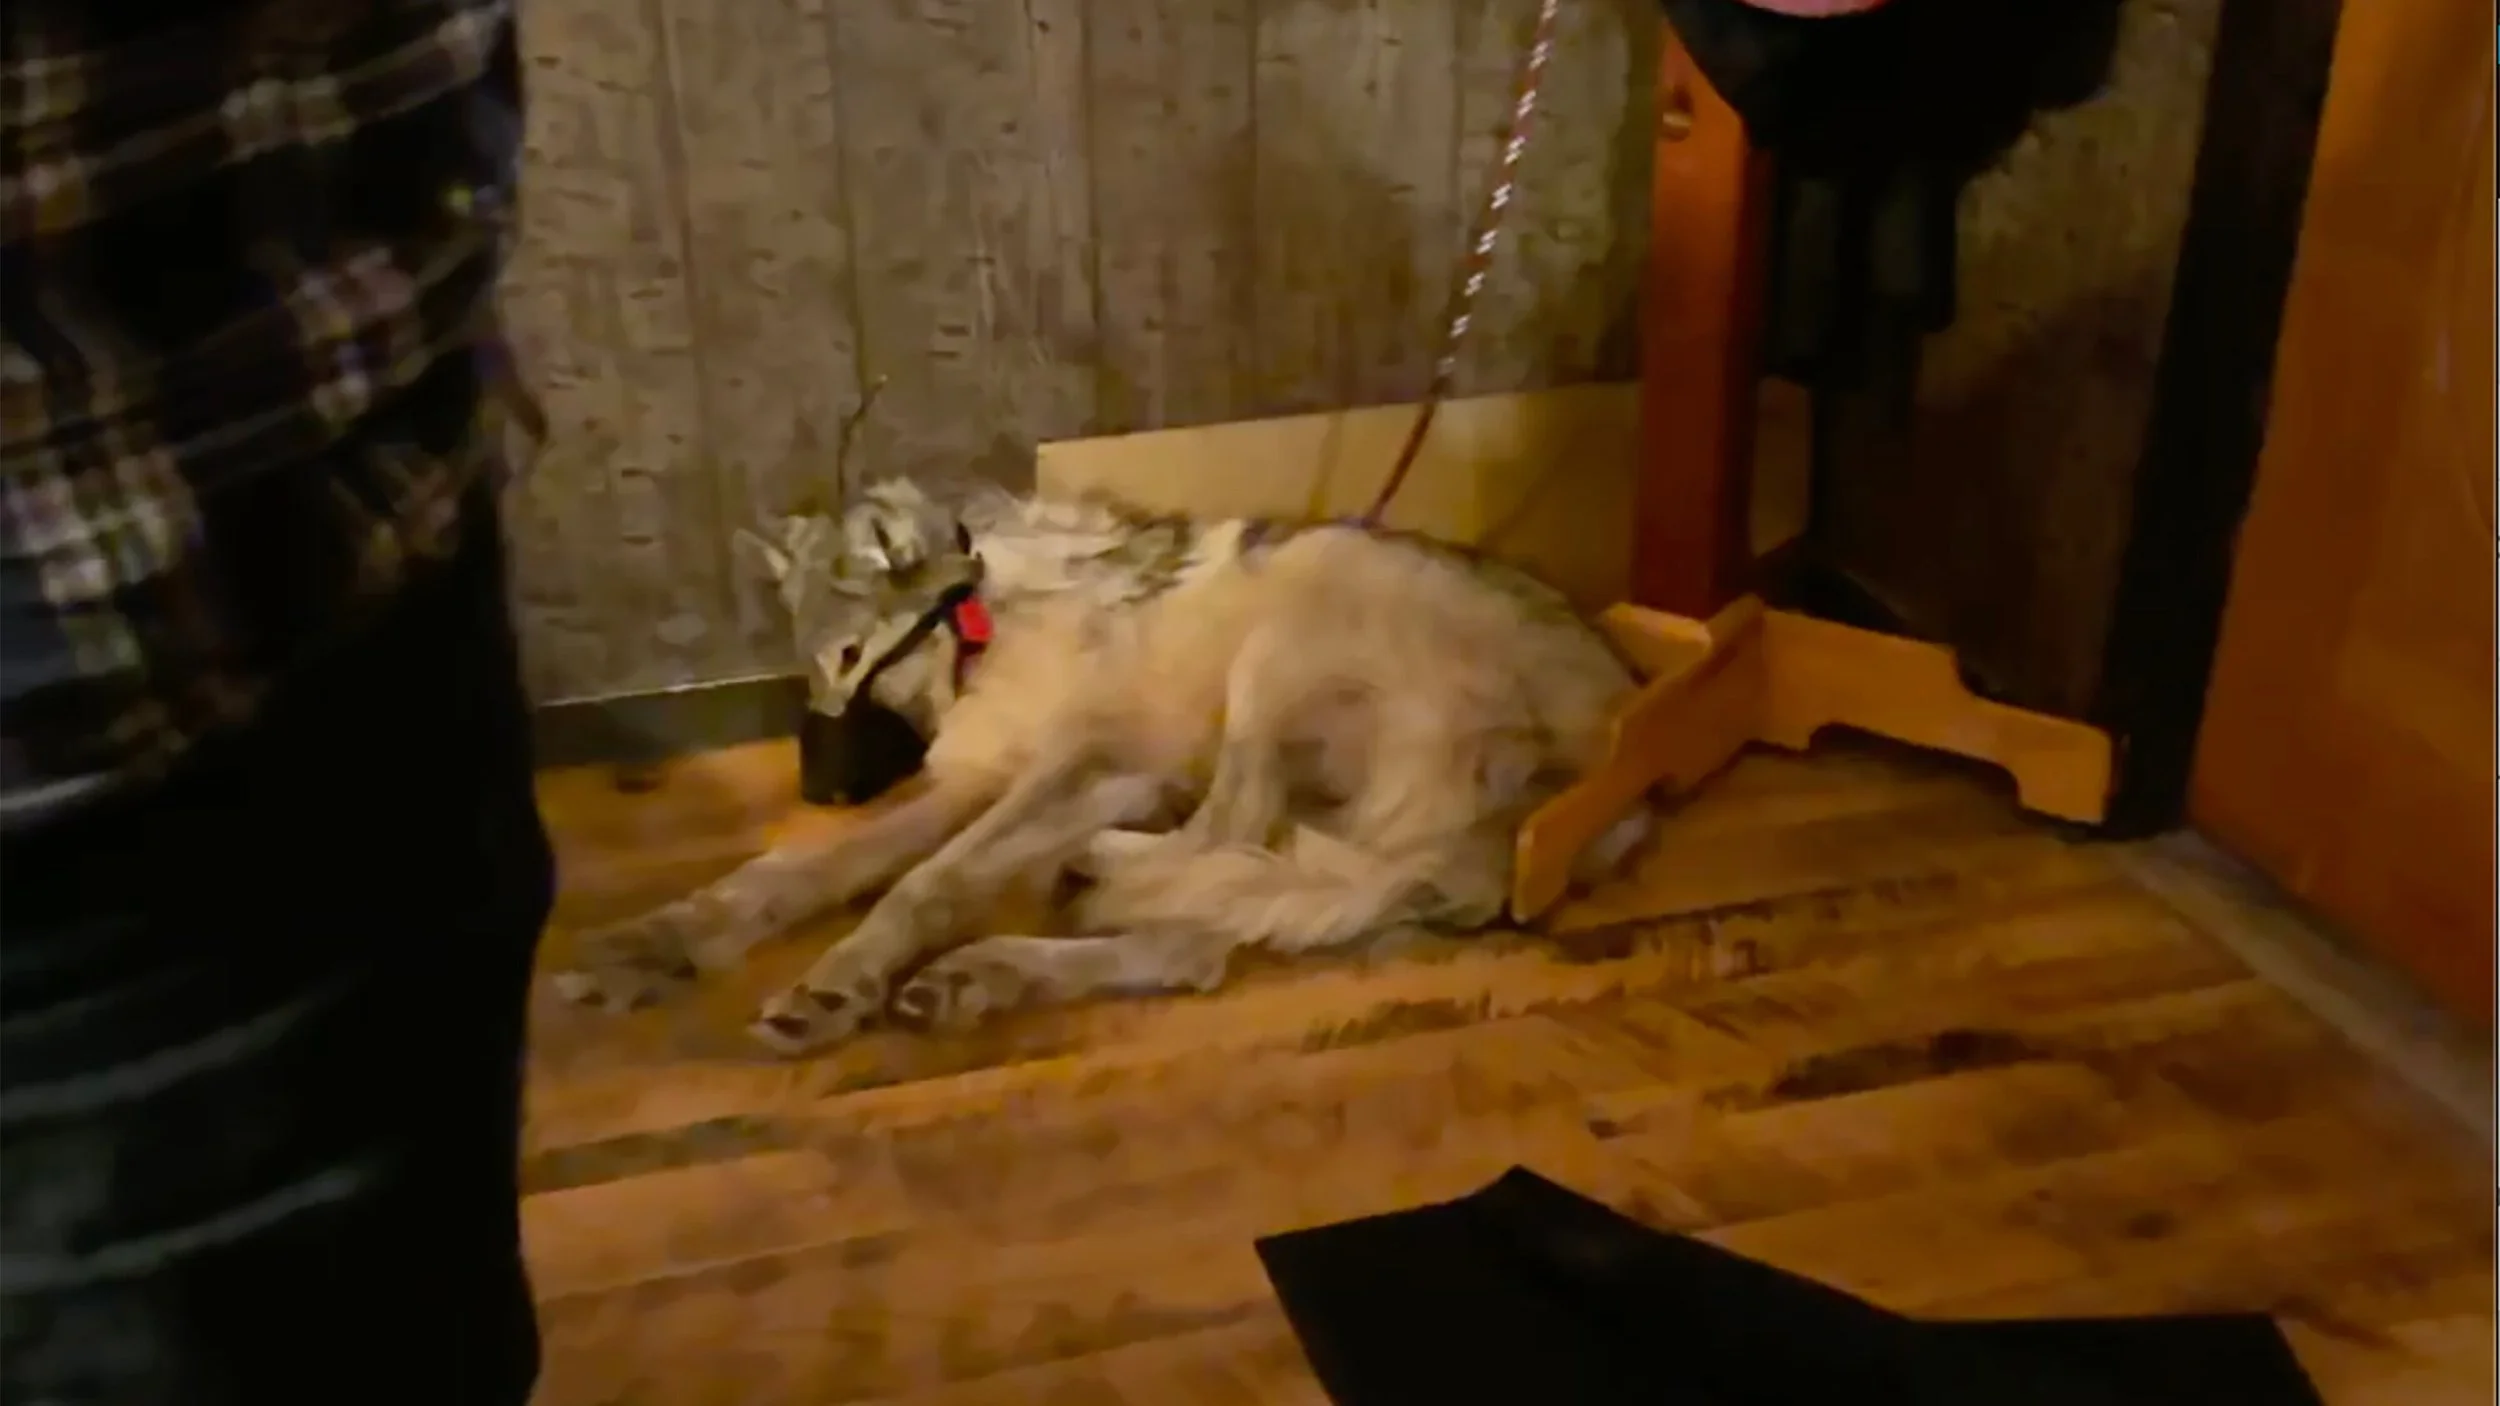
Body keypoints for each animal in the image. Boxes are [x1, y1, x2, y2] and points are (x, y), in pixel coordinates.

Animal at [551, 477, 1662, 1056]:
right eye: (815, 671)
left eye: (856, 659)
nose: (816, 788)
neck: (986, 623)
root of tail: (1609, 769)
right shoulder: (974, 778)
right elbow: (795, 870)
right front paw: (659, 942)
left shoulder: (1091, 764)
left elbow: (922, 882)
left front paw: (840, 979)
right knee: (1199, 941)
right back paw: (995, 968)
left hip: (1295, 615)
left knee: (1220, 842)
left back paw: (1067, 892)